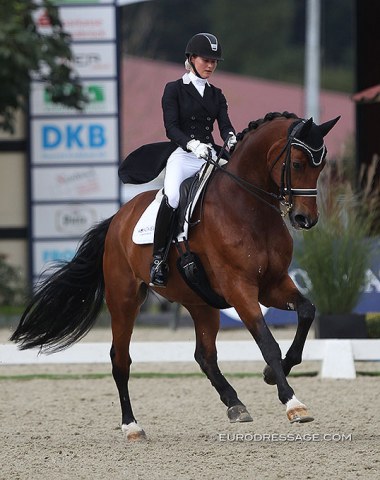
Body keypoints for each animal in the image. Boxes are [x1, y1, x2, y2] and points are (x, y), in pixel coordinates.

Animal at [11, 111, 338, 438]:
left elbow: (307, 311)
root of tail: (118, 217)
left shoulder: (273, 284)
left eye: (320, 166)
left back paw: (235, 404)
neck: (248, 208)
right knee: (120, 359)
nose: (305, 219)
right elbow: (267, 342)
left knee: (204, 355)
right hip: (124, 300)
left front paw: (273, 373)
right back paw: (132, 426)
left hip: (201, 303)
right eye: (297, 164)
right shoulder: (239, 288)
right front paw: (293, 403)